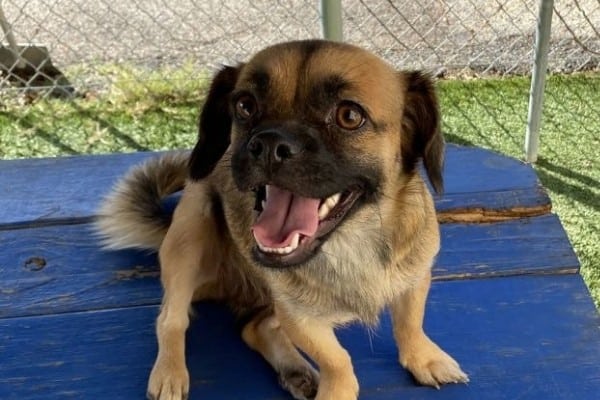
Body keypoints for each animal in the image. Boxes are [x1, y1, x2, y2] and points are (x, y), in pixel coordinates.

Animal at [96, 39, 468, 400]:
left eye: (349, 115)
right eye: (245, 106)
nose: (269, 144)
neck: (352, 243)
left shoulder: (415, 278)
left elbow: (409, 325)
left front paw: (423, 358)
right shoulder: (299, 317)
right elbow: (338, 360)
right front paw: (336, 390)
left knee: (253, 328)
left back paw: (297, 372)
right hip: (190, 233)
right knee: (171, 320)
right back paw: (170, 373)